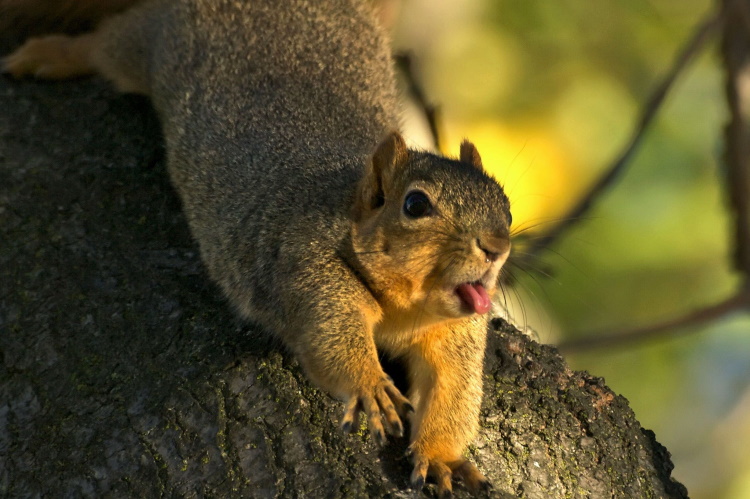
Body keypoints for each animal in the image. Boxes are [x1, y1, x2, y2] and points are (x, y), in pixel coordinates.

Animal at [0, 0, 516, 494]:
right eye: (415, 204)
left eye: (507, 208)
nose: (496, 245)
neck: (407, 306)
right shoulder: (306, 266)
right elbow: (330, 339)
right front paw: (370, 383)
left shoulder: (455, 335)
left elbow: (453, 394)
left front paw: (442, 456)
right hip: (151, 41)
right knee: (107, 43)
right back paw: (51, 54)